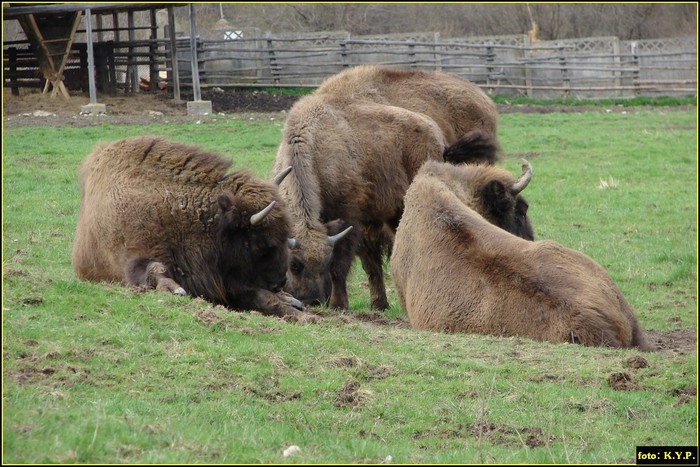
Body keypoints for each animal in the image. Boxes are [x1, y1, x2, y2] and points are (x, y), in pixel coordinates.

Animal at [72, 135, 312, 322]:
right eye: (261, 243)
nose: (280, 283)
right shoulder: (133, 253)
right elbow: (152, 270)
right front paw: (176, 289)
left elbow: (261, 297)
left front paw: (300, 310)